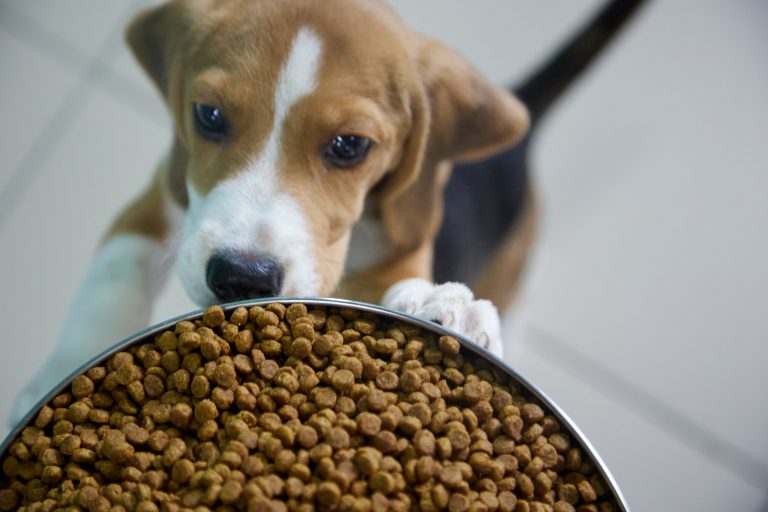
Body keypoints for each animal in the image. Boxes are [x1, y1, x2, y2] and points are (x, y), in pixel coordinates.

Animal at [12, 0, 648, 424]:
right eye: (208, 116)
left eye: (349, 146)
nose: (241, 278)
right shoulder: (157, 200)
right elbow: (110, 284)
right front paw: (56, 374)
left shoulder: (404, 243)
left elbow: (401, 289)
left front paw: (444, 307)